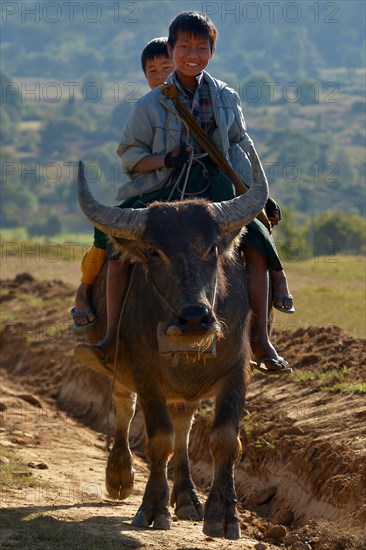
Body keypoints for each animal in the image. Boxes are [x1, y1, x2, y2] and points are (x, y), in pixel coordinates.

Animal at [76, 144, 268, 540]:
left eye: (212, 248)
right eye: (153, 251)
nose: (194, 317)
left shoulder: (237, 371)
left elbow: (225, 439)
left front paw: (223, 515)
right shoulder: (147, 372)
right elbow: (158, 439)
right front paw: (152, 509)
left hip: (186, 389)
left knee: (184, 425)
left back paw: (187, 499)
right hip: (120, 364)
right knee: (125, 407)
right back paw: (120, 476)